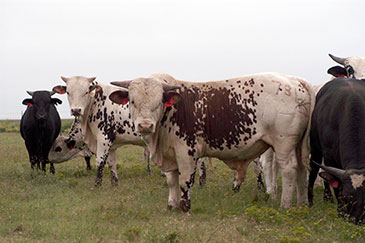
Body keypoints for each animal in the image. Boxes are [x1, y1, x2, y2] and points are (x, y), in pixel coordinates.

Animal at [107, 71, 312, 211]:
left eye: (158, 103)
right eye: (132, 101)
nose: (145, 125)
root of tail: (294, 80)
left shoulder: (186, 152)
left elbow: (184, 182)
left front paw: (185, 207)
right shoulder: (170, 154)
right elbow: (172, 181)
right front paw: (172, 205)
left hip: (284, 144)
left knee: (289, 170)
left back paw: (285, 205)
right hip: (296, 145)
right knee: (301, 170)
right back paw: (302, 203)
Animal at [308, 78, 365, 224]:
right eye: (346, 197)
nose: (357, 220)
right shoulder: (329, 157)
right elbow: (336, 186)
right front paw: (340, 213)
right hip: (315, 149)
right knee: (314, 172)